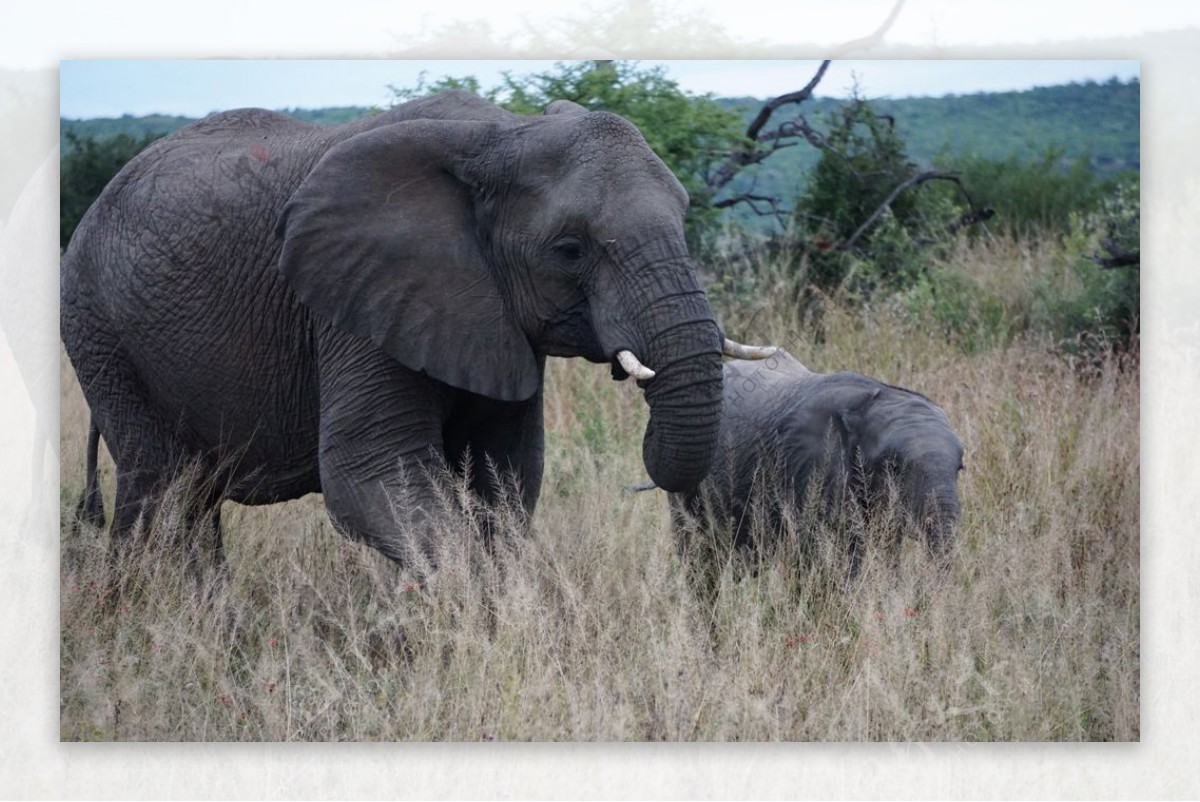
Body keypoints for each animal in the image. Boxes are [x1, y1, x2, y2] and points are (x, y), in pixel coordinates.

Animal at [60, 90, 758, 566]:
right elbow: (369, 474)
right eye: (569, 249)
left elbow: (506, 478)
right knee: (164, 493)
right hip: (100, 332)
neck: (502, 131)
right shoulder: (355, 301)